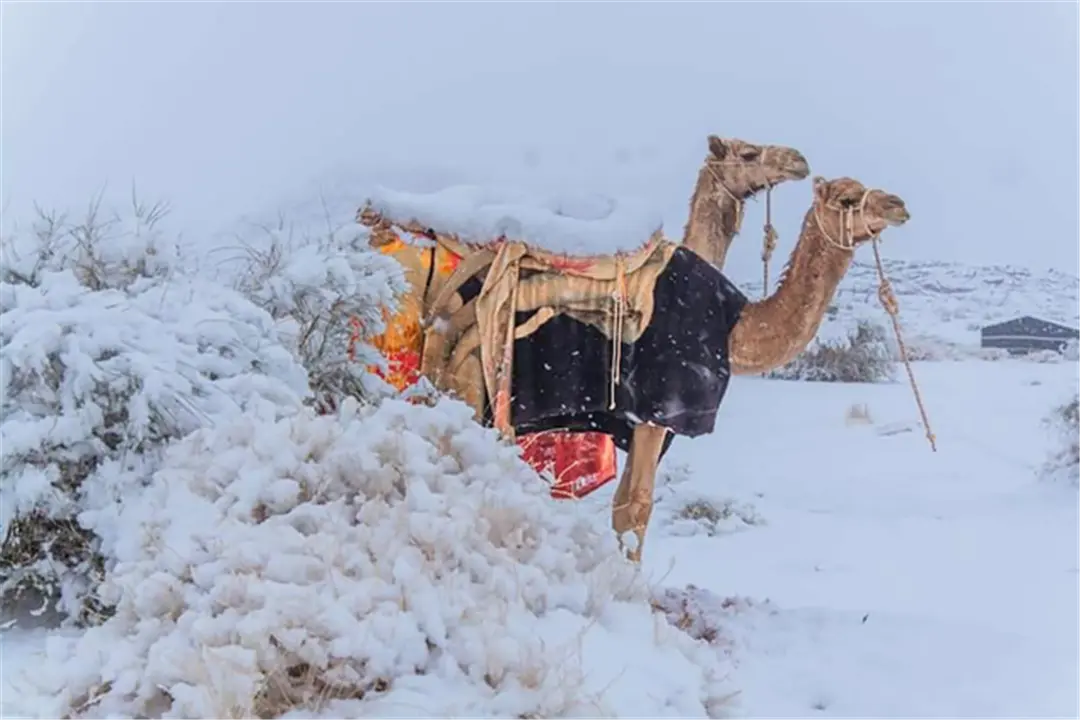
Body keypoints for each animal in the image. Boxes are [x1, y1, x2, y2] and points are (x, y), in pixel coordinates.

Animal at [358, 170, 907, 561]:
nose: (896, 205)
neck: (735, 327)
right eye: (846, 198)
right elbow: (635, 510)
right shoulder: (659, 407)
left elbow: (624, 505)